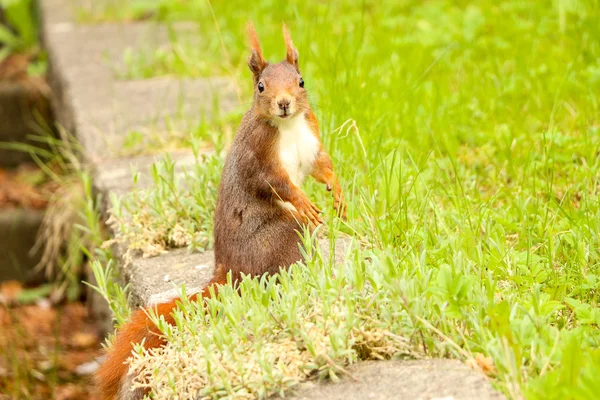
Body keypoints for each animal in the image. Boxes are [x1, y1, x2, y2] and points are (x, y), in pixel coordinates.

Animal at [96, 23, 344, 398]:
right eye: (261, 86)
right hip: (283, 233)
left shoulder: (311, 140)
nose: (284, 104)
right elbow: (277, 185)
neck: (288, 127)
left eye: (301, 81)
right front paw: (305, 203)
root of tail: (229, 272)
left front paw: (338, 192)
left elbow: (323, 167)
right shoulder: (260, 158)